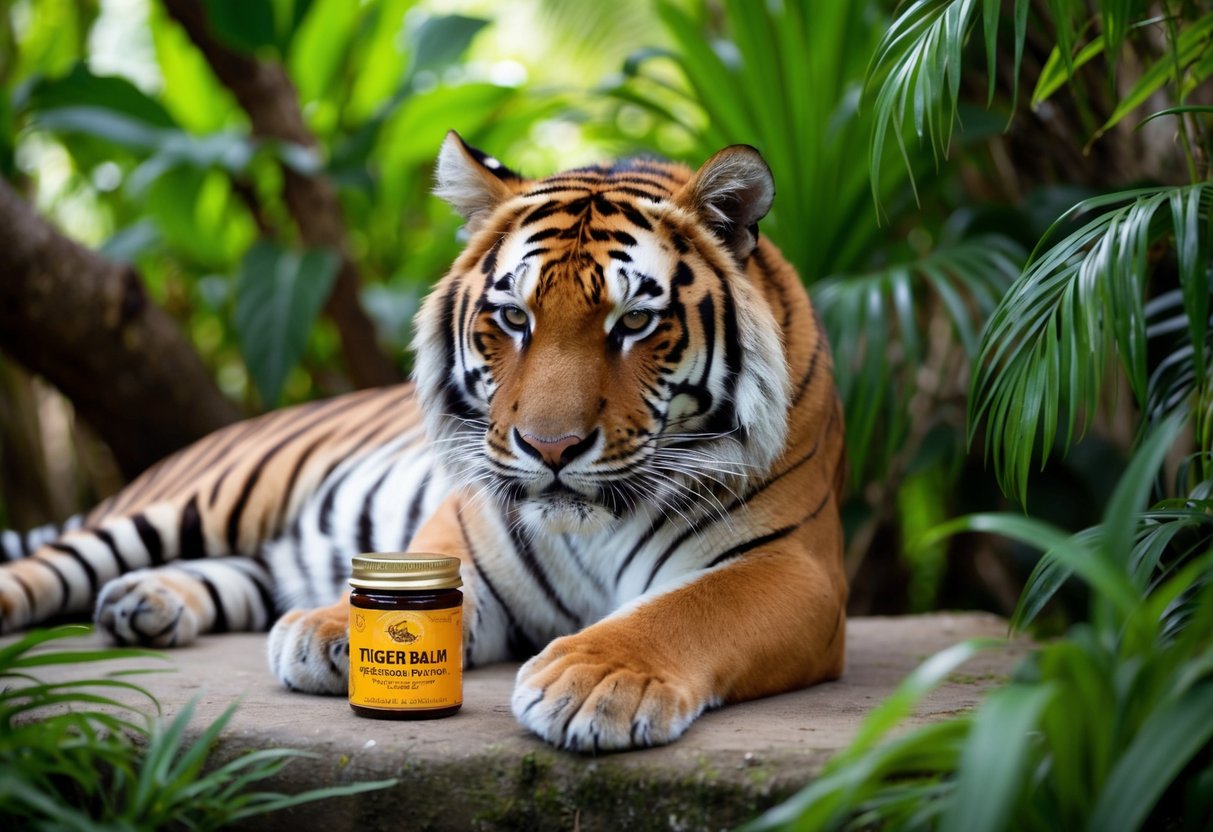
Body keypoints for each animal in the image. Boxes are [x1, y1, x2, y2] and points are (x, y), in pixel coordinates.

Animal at [0, 133, 849, 751]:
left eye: (634, 322)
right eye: (513, 318)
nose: (551, 449)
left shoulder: (797, 570)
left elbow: (691, 607)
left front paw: (596, 681)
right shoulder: (462, 532)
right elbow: (426, 573)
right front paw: (331, 629)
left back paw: (143, 604)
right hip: (192, 502)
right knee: (44, 568)